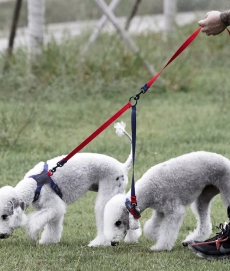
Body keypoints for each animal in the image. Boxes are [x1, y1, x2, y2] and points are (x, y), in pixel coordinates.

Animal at [0, 122, 131, 248]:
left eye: (4, 216)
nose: (1, 235)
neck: (34, 185)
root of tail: (122, 166)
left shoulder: (52, 203)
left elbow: (34, 221)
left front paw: (33, 234)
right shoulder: (49, 209)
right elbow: (53, 225)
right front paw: (49, 241)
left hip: (109, 190)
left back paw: (100, 243)